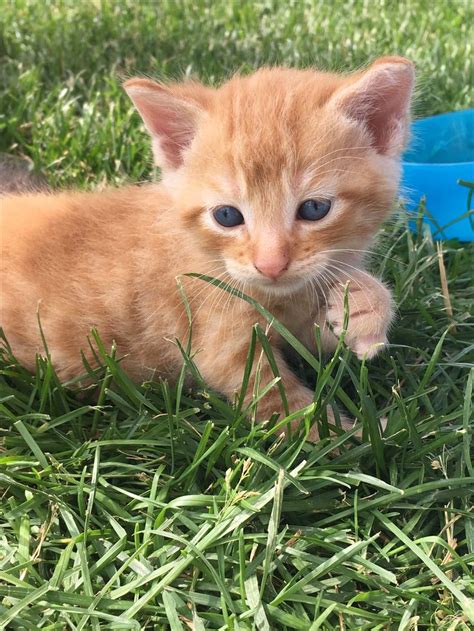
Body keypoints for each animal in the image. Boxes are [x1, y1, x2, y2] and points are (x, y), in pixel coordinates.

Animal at [0, 58, 414, 434]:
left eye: (314, 209)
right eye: (227, 216)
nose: (271, 265)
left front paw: (362, 304)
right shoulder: (218, 339)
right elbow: (277, 402)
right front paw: (351, 441)